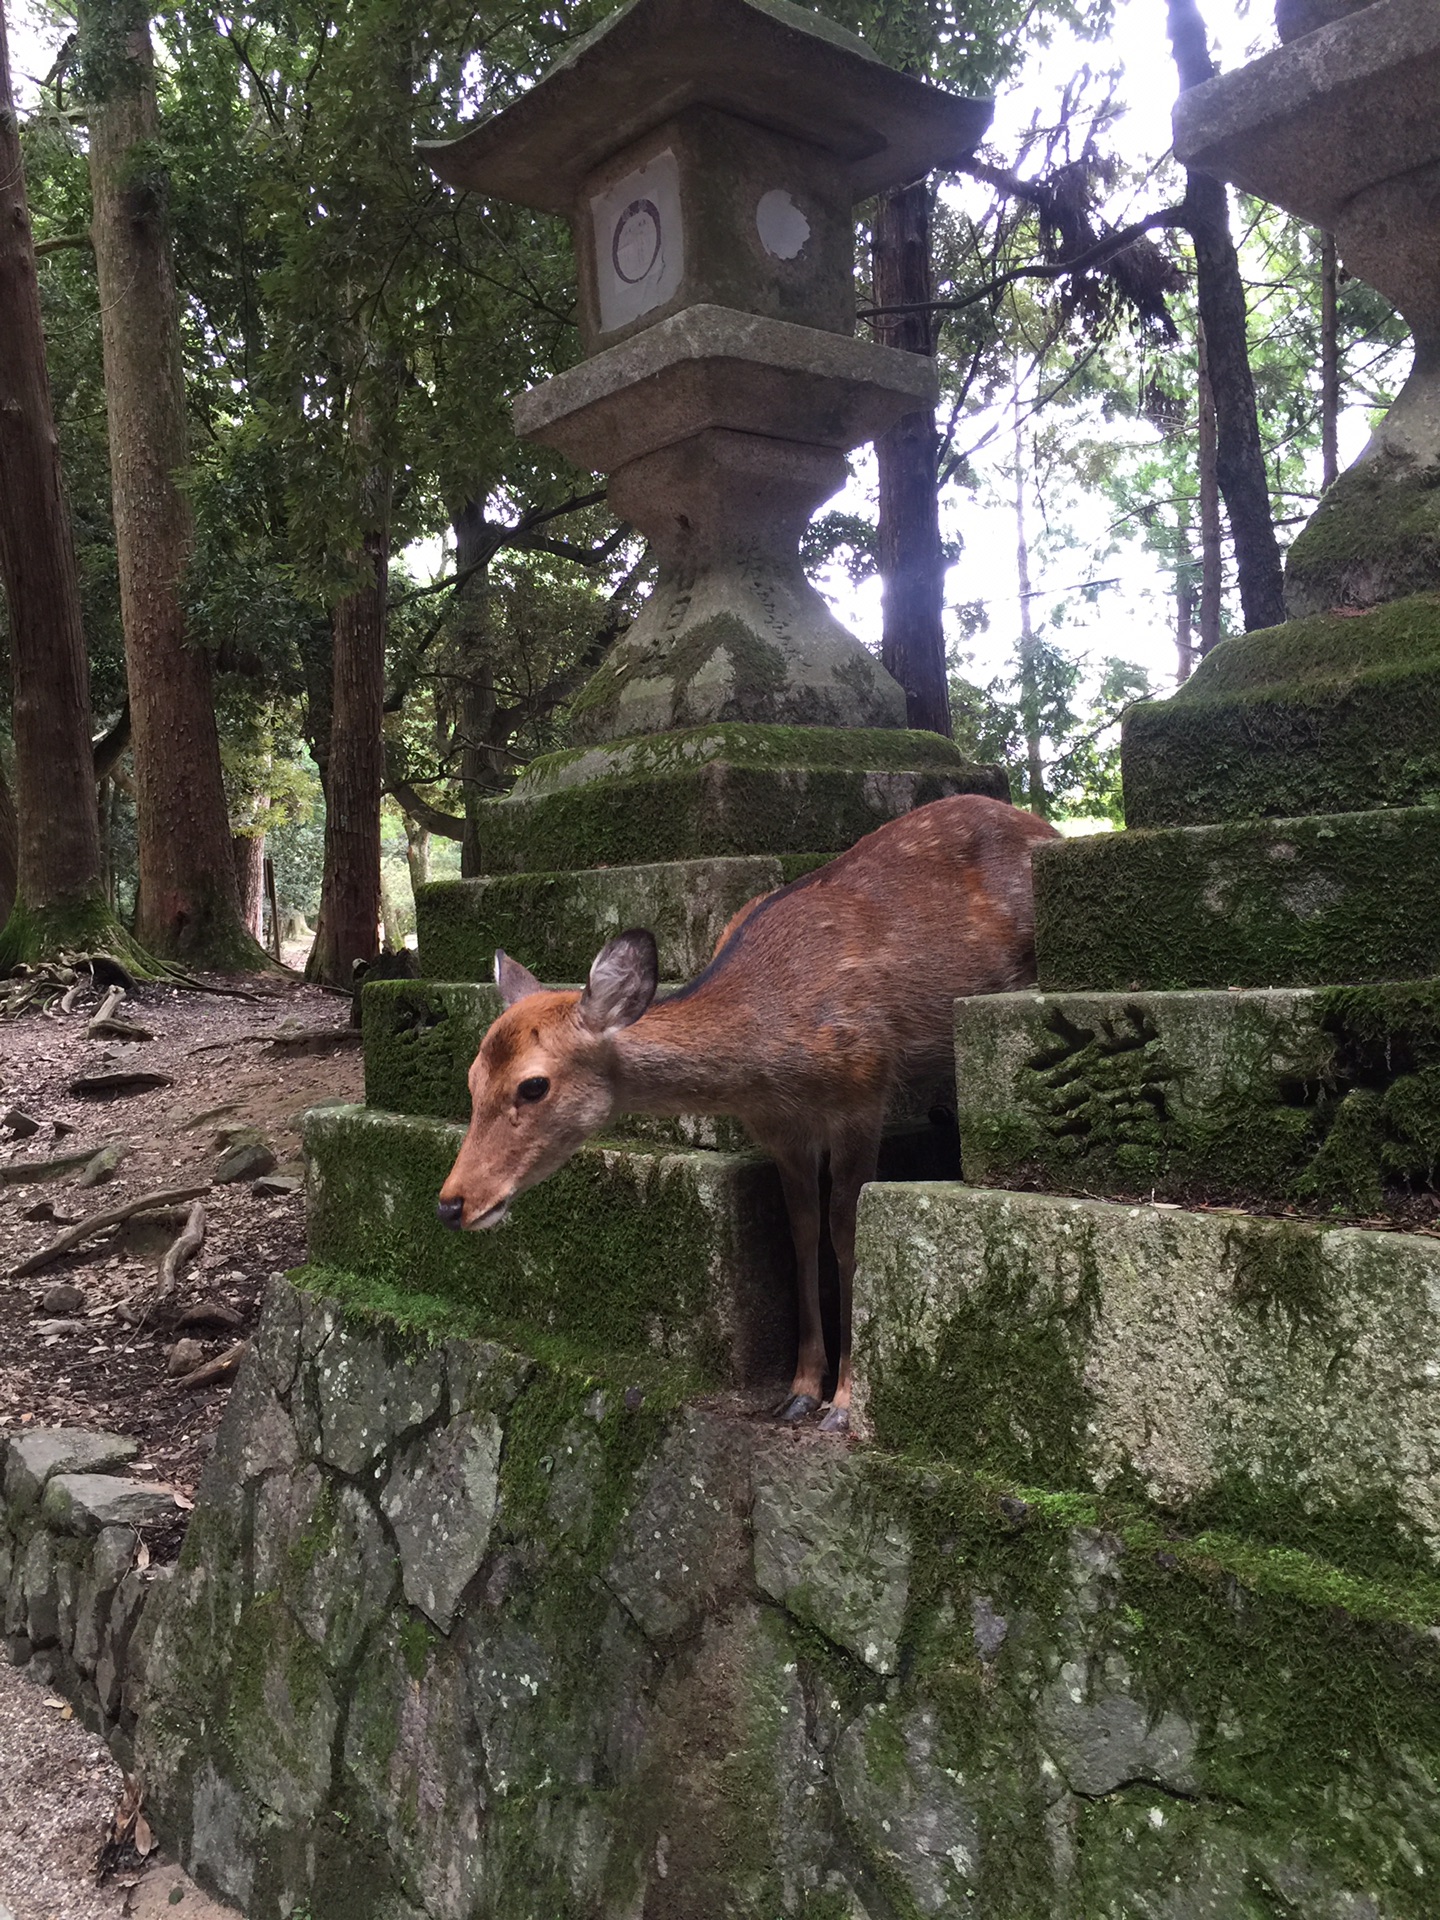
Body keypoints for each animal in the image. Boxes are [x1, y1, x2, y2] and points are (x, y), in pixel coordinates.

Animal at [439, 787, 1059, 1436]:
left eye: (533, 1086)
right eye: (472, 1078)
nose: (451, 1204)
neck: (770, 1061)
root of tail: (1048, 828)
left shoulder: (863, 1093)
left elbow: (846, 1234)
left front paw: (842, 1403)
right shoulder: (778, 1130)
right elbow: (802, 1231)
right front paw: (800, 1390)